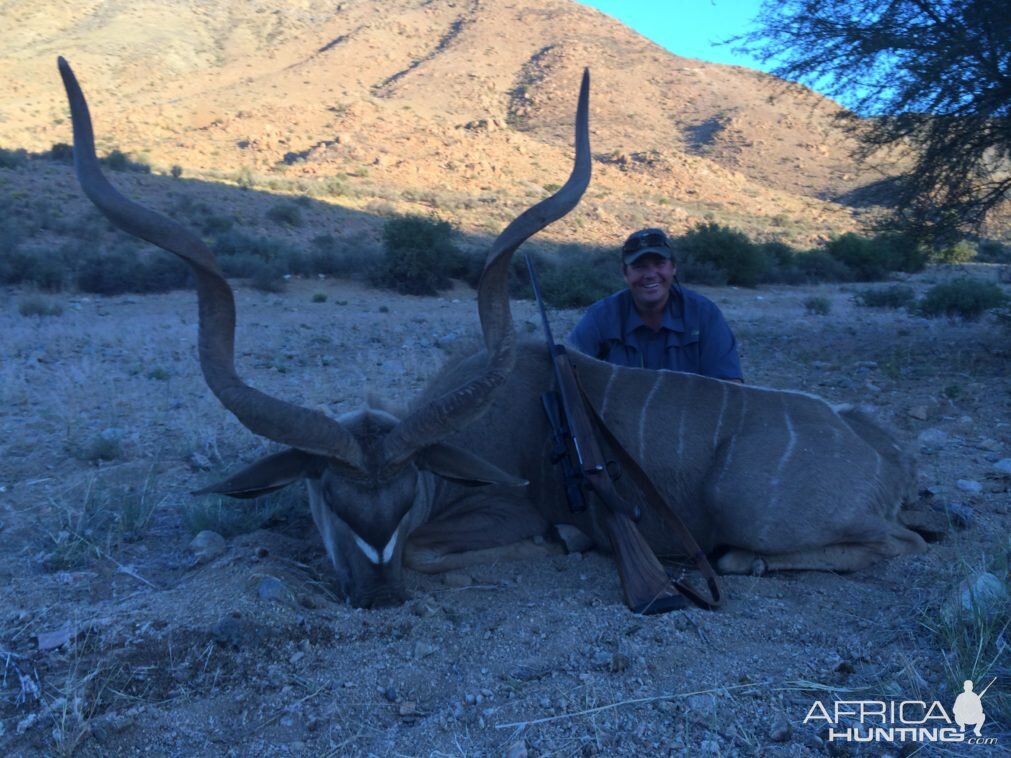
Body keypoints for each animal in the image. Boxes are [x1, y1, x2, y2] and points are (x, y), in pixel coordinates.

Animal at [57, 59, 926, 610]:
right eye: (329, 496)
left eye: (405, 496)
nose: (379, 596)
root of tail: (881, 450)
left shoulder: (496, 518)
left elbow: (485, 543)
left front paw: (564, 543)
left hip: (757, 516)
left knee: (887, 544)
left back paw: (745, 559)